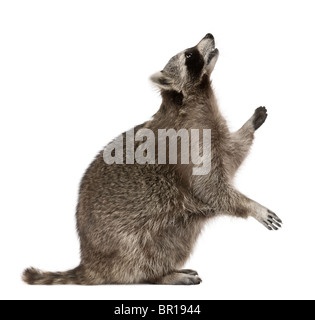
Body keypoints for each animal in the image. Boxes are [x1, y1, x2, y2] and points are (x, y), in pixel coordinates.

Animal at [23, 33, 282, 286]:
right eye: (189, 55)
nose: (209, 34)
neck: (196, 98)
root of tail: (90, 263)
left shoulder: (213, 132)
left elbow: (233, 153)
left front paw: (250, 124)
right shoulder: (189, 143)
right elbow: (209, 187)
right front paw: (252, 205)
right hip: (128, 238)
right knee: (146, 254)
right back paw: (160, 275)